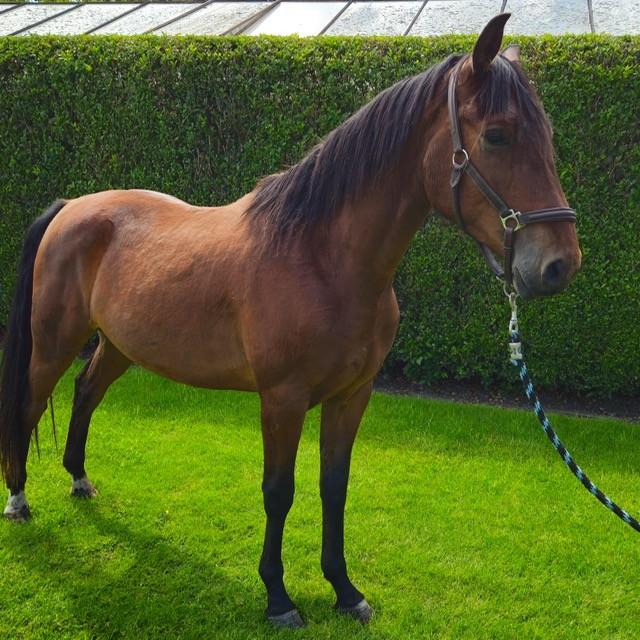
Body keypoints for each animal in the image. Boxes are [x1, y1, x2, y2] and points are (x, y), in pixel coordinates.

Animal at [0, 14, 580, 628]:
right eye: (496, 135)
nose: (559, 264)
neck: (321, 259)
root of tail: (71, 207)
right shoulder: (282, 398)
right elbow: (279, 491)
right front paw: (278, 598)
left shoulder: (351, 395)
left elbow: (335, 486)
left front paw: (345, 590)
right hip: (52, 342)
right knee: (30, 402)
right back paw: (19, 499)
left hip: (118, 345)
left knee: (86, 392)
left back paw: (78, 478)